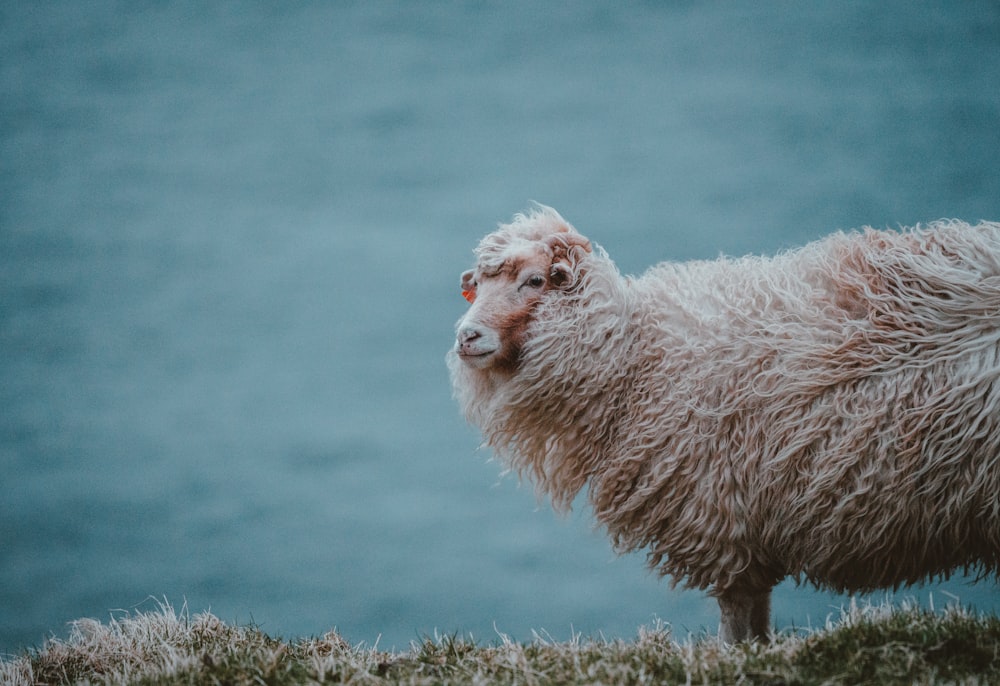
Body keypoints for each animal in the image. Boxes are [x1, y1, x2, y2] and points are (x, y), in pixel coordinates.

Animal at [450, 204, 1000, 644]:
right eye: (480, 286)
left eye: (535, 280)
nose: (465, 336)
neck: (636, 357)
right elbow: (756, 615)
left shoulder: (722, 512)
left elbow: (737, 616)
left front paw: (737, 654)